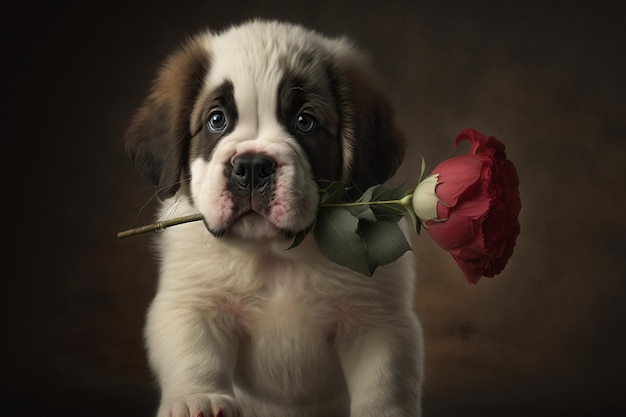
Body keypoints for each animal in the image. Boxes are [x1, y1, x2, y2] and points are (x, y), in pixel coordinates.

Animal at [124, 18, 422, 416]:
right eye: (216, 120)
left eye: (305, 122)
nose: (252, 167)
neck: (276, 257)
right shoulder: (193, 300)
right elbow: (195, 352)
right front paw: (198, 399)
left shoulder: (376, 318)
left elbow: (383, 380)